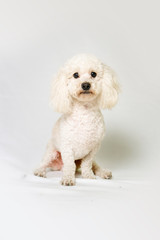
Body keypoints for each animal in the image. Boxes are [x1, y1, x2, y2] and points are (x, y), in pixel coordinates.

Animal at [34, 54, 120, 186]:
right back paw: (39, 171)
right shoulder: (67, 147)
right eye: (75, 75)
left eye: (93, 74)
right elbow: (70, 165)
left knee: (94, 166)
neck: (84, 112)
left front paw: (88, 176)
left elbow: (87, 164)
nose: (85, 85)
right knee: (43, 163)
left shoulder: (93, 149)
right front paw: (68, 179)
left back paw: (104, 172)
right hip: (51, 152)